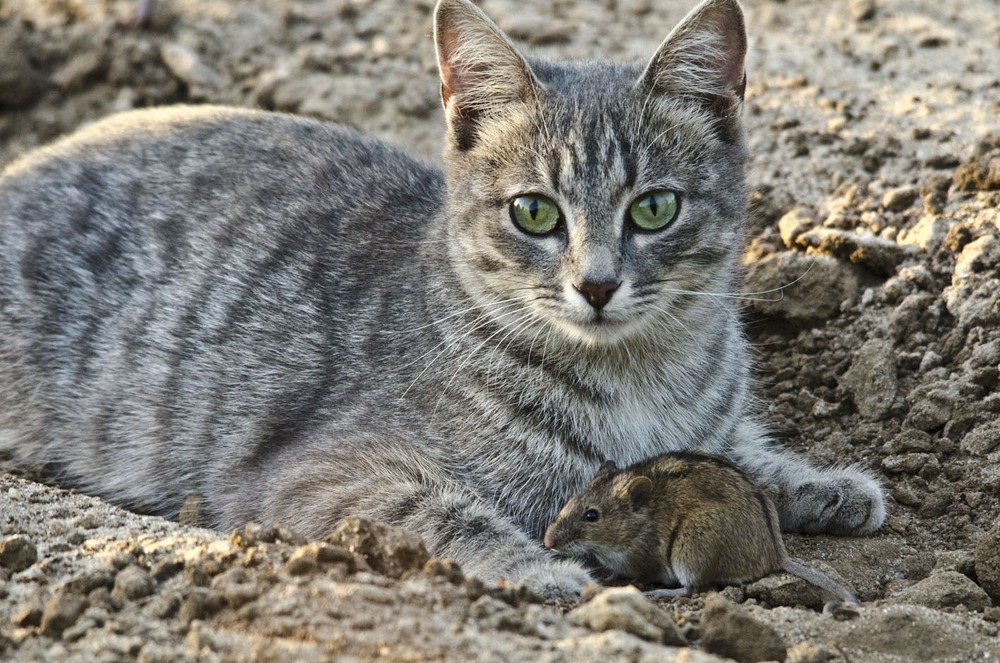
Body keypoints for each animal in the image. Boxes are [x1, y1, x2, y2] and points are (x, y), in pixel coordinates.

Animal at [0, 0, 884, 600]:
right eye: (535, 213)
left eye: (655, 208)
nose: (597, 284)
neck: (638, 373)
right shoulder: (318, 473)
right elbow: (442, 509)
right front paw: (538, 564)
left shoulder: (702, 432)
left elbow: (736, 453)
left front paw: (820, 482)